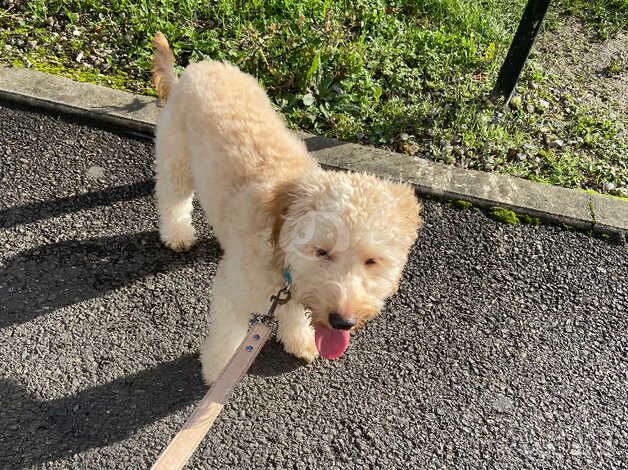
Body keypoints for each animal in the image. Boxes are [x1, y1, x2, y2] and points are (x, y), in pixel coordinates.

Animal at [151, 33, 422, 386]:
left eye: (372, 261)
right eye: (321, 252)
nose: (343, 321)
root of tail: (192, 70)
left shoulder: (292, 289)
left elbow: (295, 312)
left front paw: (300, 339)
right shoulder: (233, 291)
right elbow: (226, 336)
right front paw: (219, 373)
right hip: (177, 157)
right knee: (172, 196)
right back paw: (178, 234)